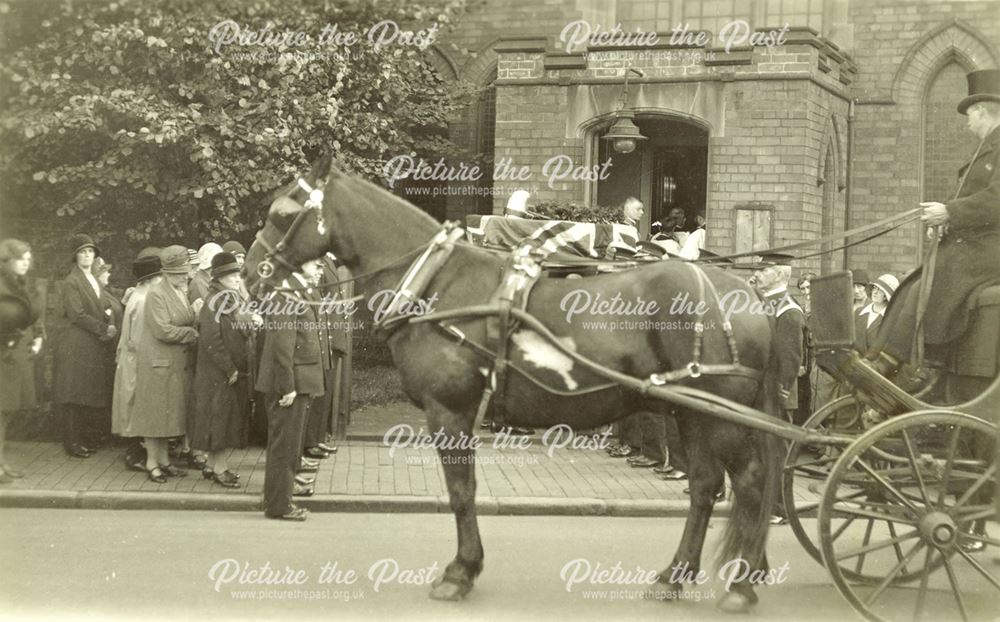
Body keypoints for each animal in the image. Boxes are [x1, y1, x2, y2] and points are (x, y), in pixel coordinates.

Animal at [244, 157, 788, 616]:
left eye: (280, 211)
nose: (252, 275)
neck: (437, 282)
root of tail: (747, 293)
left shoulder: (449, 411)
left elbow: (461, 491)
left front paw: (460, 571)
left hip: (719, 419)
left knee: (750, 482)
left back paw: (740, 584)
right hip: (693, 413)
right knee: (705, 487)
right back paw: (677, 575)